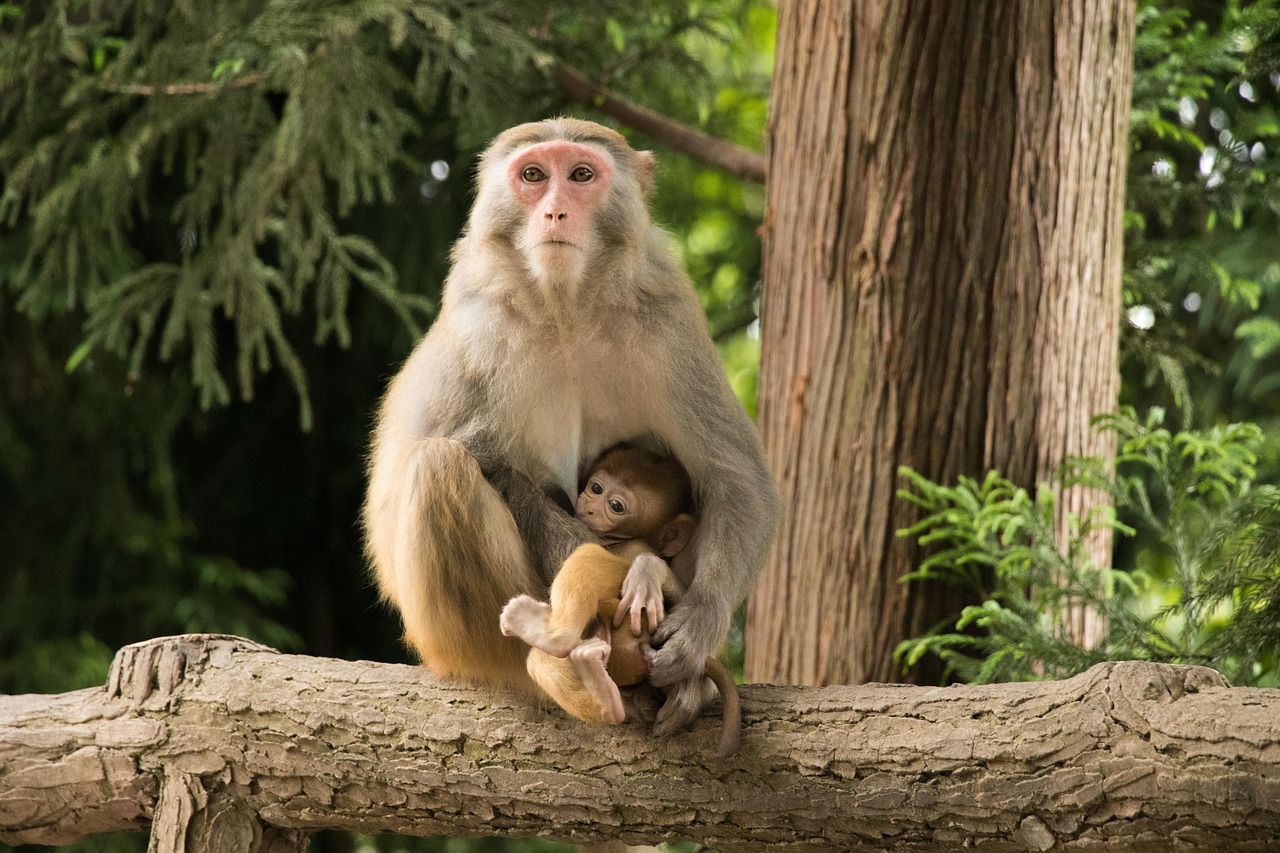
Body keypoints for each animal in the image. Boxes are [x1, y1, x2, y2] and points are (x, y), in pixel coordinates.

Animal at [499, 446, 743, 757]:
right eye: (596, 488)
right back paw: (606, 697)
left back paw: (549, 633)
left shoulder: (631, 546)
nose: (590, 507)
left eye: (616, 506)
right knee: (545, 660)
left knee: (588, 559)